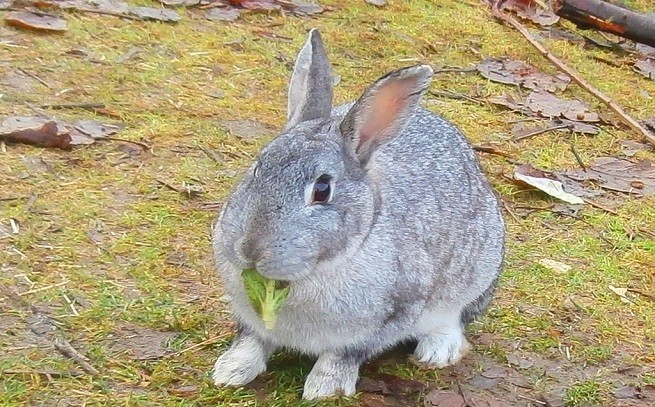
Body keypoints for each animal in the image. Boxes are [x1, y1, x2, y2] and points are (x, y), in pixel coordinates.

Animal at [210, 28, 505, 400]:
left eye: (322, 190)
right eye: (258, 166)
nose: (250, 250)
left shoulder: (391, 316)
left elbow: (345, 352)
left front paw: (325, 388)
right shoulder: (251, 318)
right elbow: (252, 340)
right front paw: (230, 370)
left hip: (478, 276)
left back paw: (438, 352)